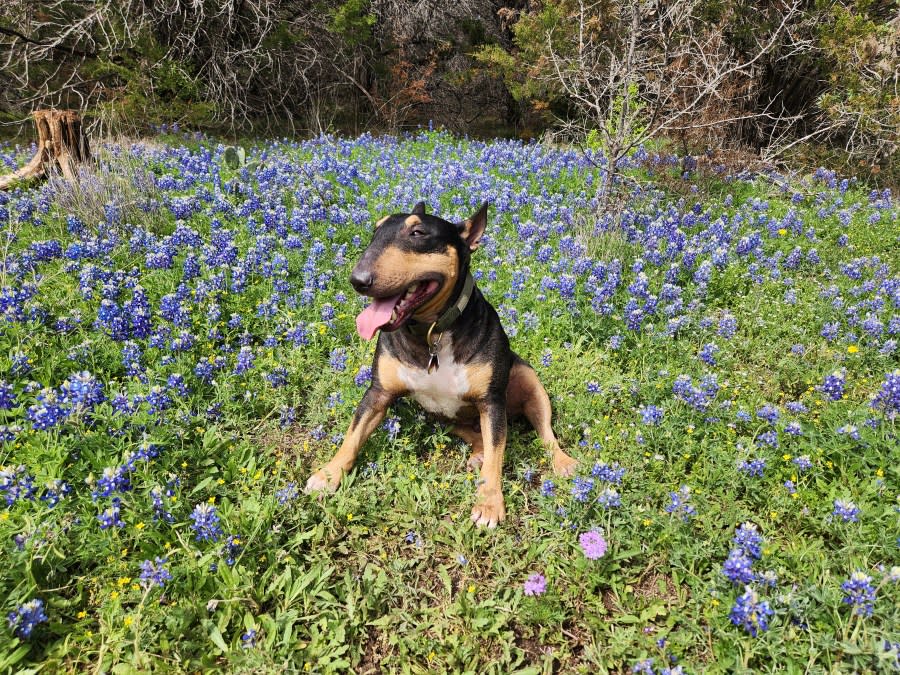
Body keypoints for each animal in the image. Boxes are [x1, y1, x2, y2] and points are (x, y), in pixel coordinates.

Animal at [306, 201, 580, 528]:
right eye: (375, 230)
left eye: (418, 232)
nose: (358, 280)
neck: (431, 333)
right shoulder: (378, 394)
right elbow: (352, 436)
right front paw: (329, 474)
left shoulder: (491, 402)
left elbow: (496, 456)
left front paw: (489, 504)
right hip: (440, 417)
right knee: (478, 437)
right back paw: (477, 453)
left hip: (529, 383)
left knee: (544, 433)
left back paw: (564, 462)